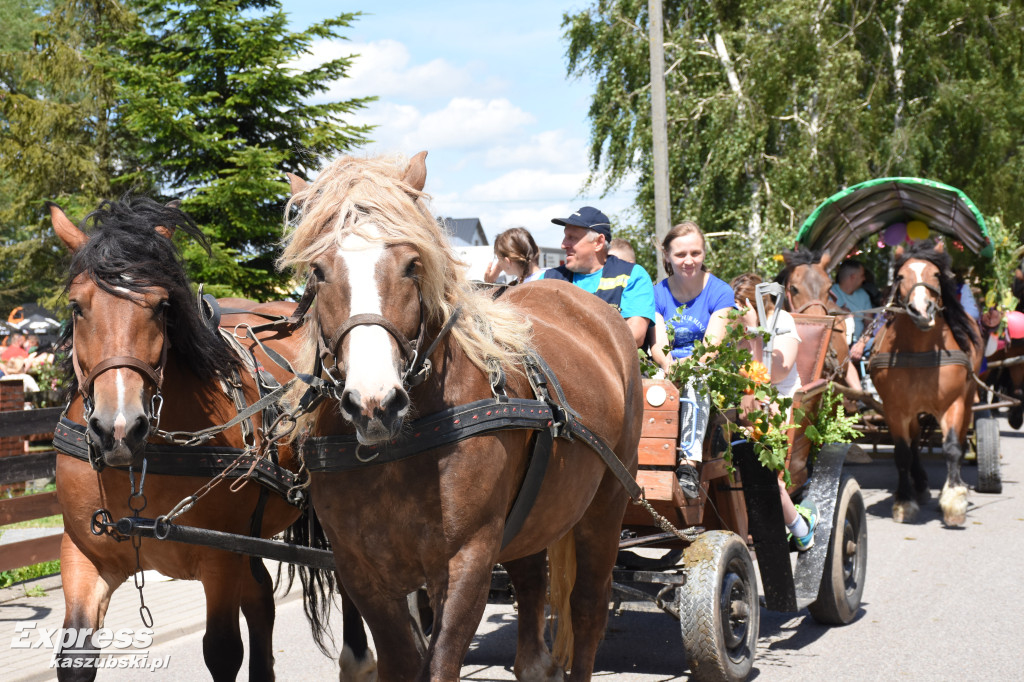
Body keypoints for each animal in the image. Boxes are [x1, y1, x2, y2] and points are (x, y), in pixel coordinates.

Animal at [48, 197, 376, 679]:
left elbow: (221, 651)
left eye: (162, 306)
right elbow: (75, 657)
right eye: (76, 306)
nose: (119, 427)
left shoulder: (220, 561)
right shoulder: (83, 556)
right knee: (261, 598)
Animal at [278, 151, 638, 675]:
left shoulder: (467, 561)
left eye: (411, 265)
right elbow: (402, 662)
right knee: (533, 597)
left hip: (607, 502)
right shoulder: (361, 570)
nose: (374, 404)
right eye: (319, 271)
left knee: (589, 610)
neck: (398, 452)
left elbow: (442, 662)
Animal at [868, 240, 978, 524]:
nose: (921, 311)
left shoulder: (953, 403)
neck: (920, 350)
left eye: (936, 274)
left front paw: (954, 501)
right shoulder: (895, 408)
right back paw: (919, 486)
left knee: (961, 437)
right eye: (899, 277)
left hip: (968, 397)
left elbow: (952, 447)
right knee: (915, 442)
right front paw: (905, 501)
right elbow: (903, 452)